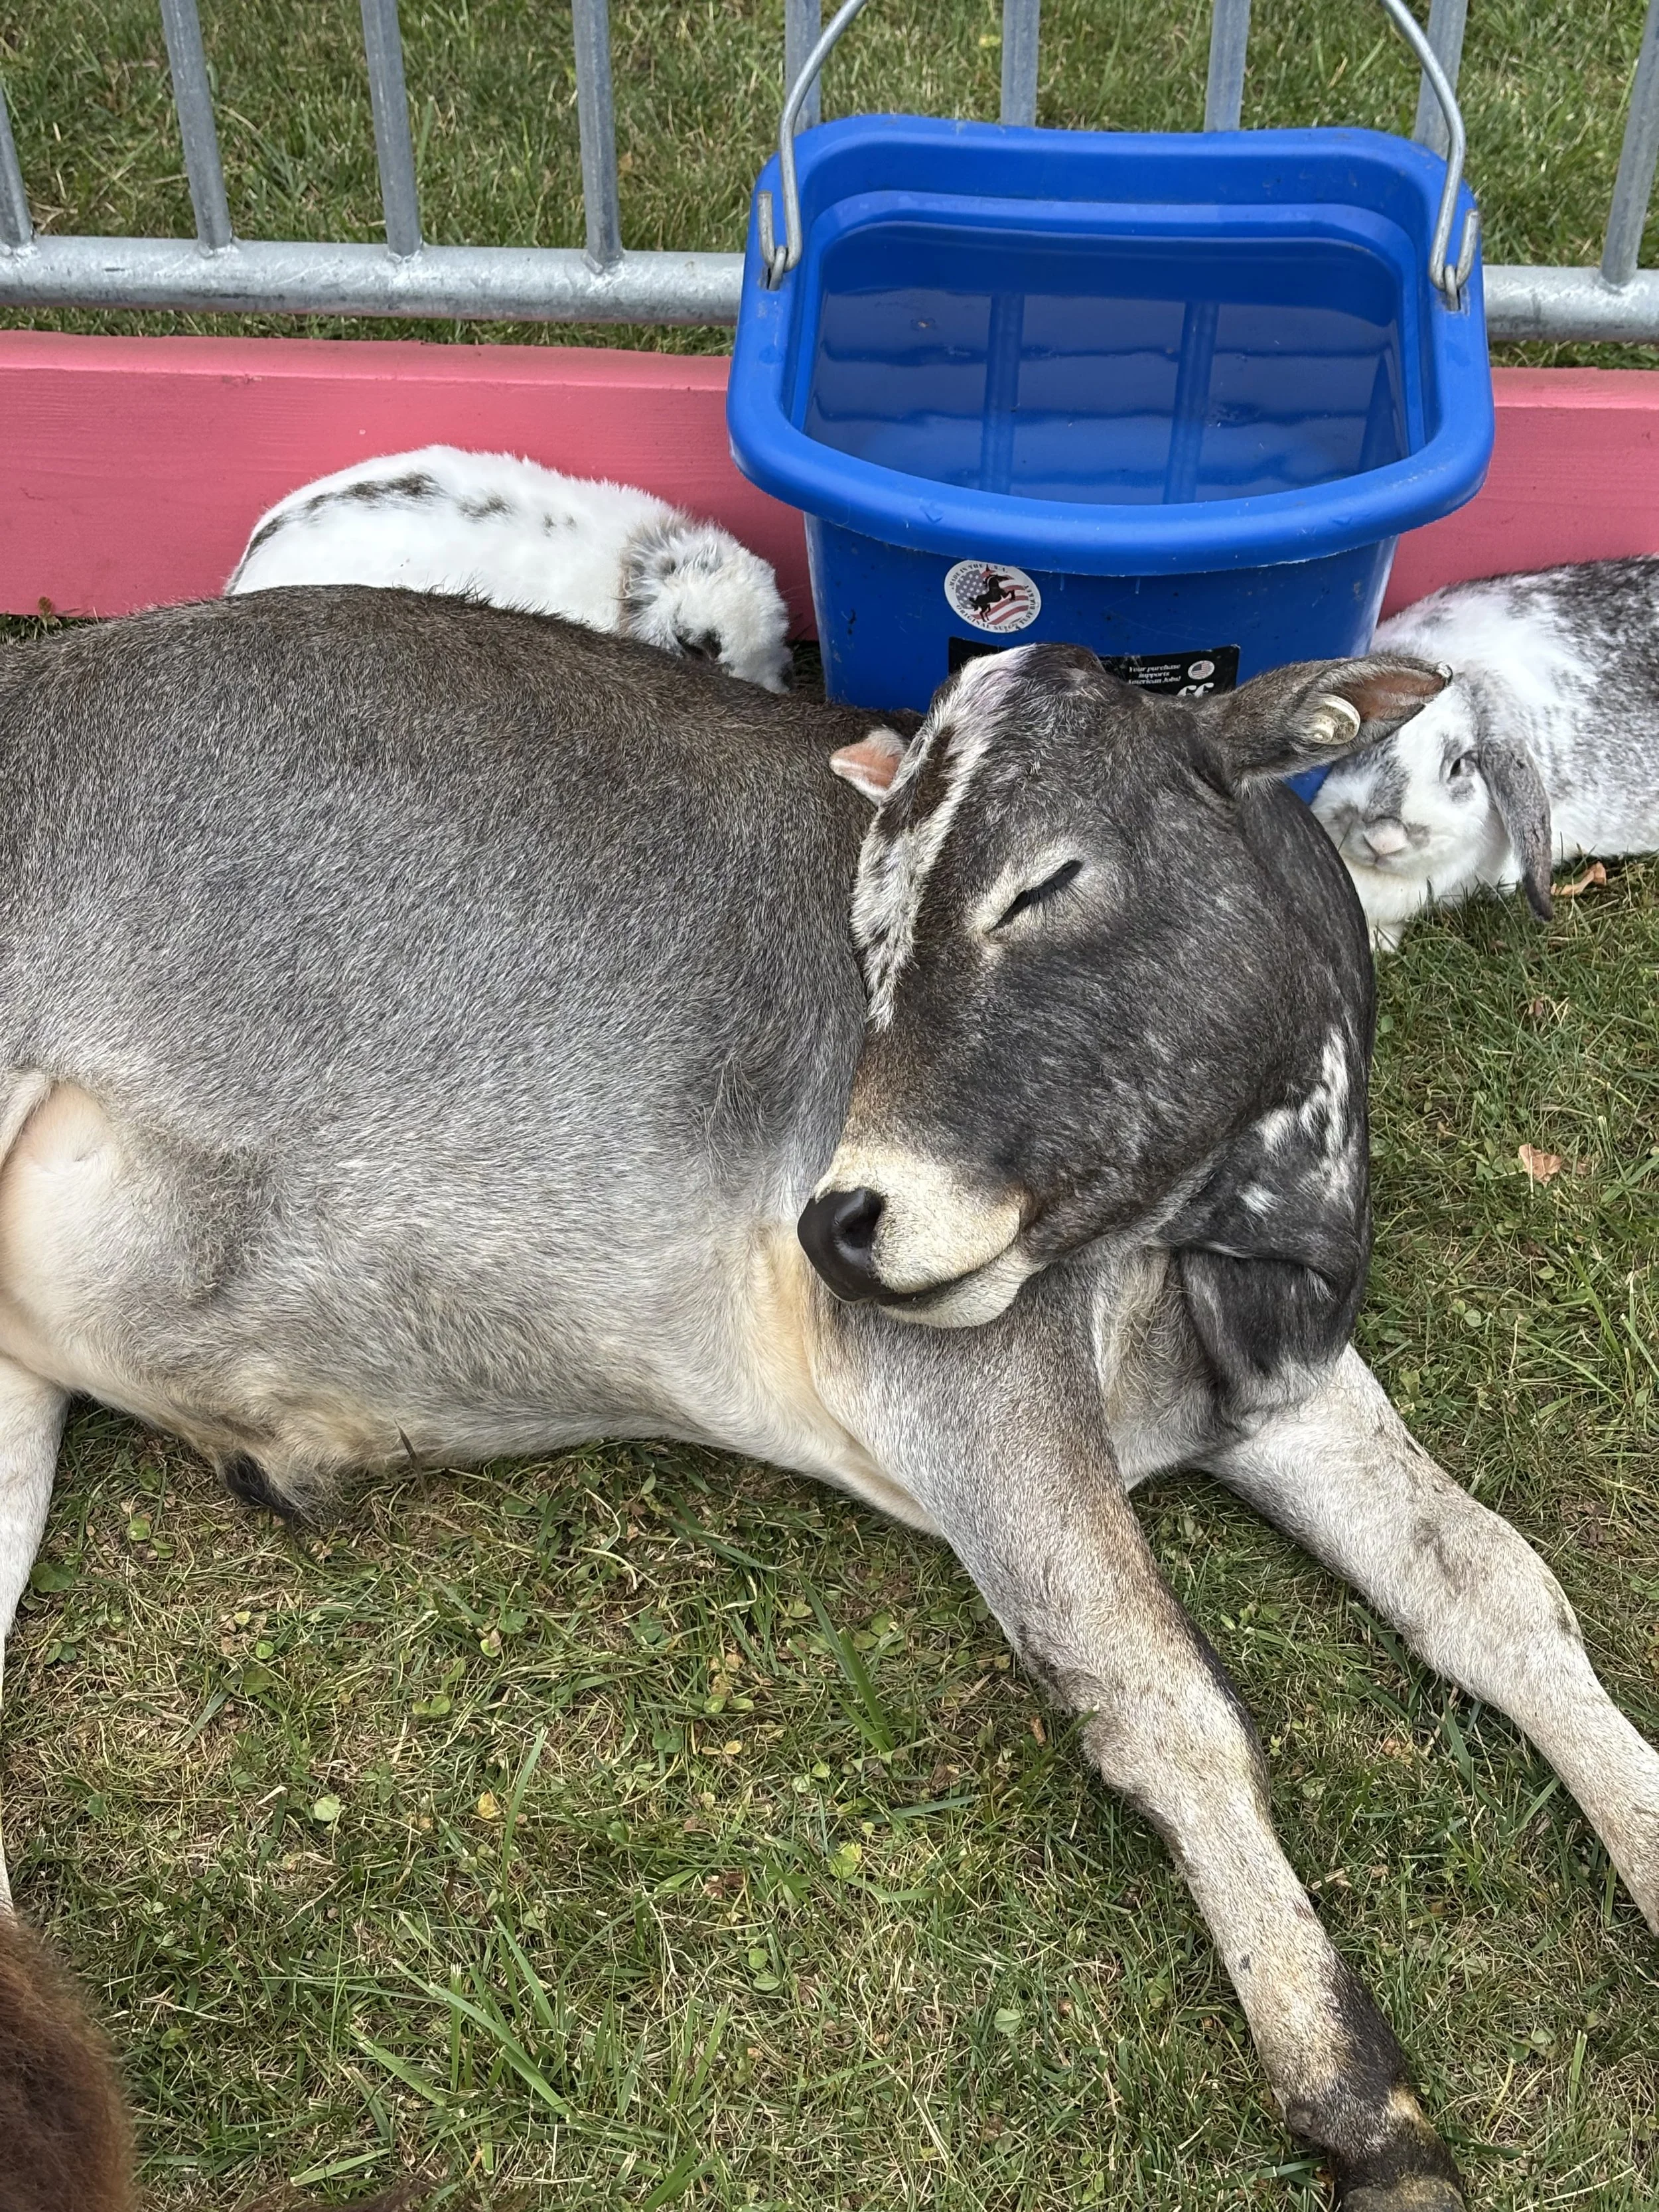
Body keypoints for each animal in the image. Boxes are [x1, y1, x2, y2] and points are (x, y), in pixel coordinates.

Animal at [0, 592, 1653, 2210]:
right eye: (866, 939)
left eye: (1042, 886)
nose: (837, 1222)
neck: (1228, 1236)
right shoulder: (962, 1374)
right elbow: (1163, 1697)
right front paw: (1356, 2097)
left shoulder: (1280, 1386)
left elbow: (1488, 1578)